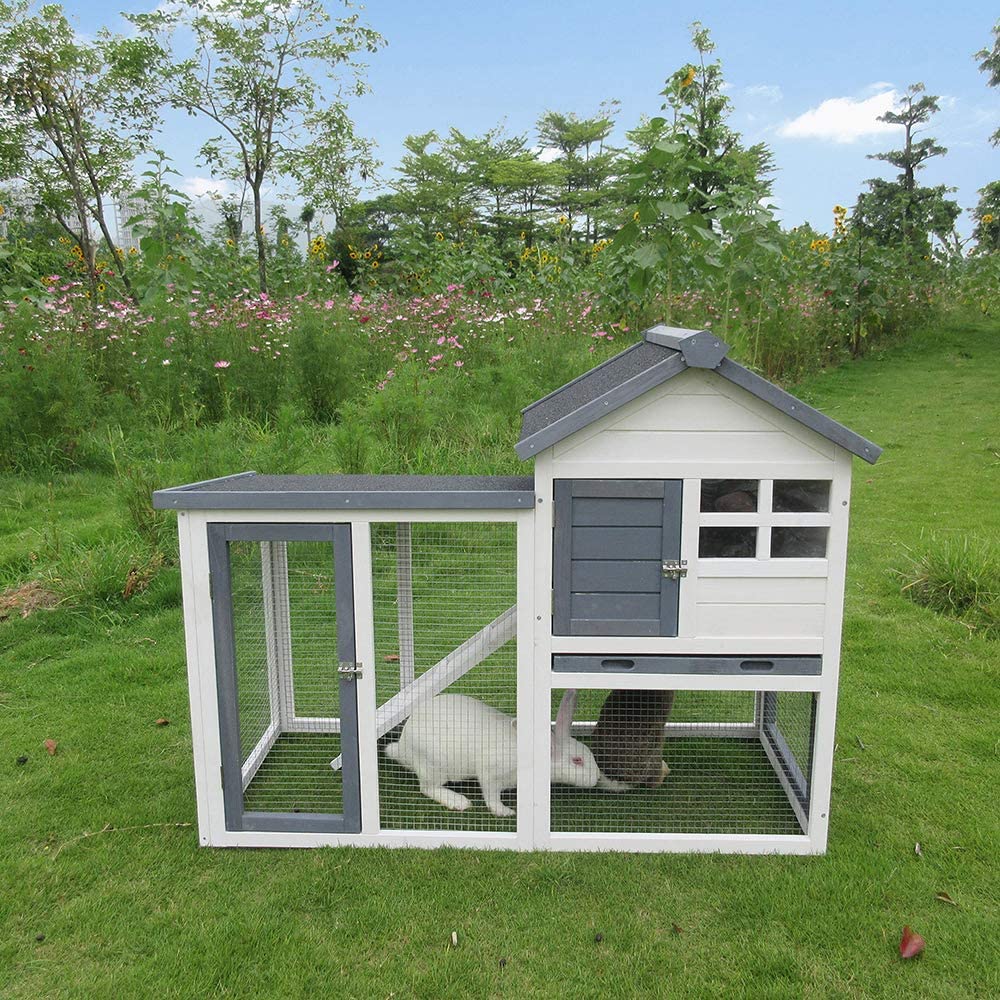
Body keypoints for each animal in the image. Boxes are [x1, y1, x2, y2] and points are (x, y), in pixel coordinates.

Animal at [382, 690, 600, 817]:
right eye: (577, 760)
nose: (597, 777)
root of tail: (403, 746)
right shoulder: (490, 773)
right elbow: (492, 796)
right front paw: (506, 812)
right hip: (432, 766)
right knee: (427, 788)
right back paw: (458, 801)